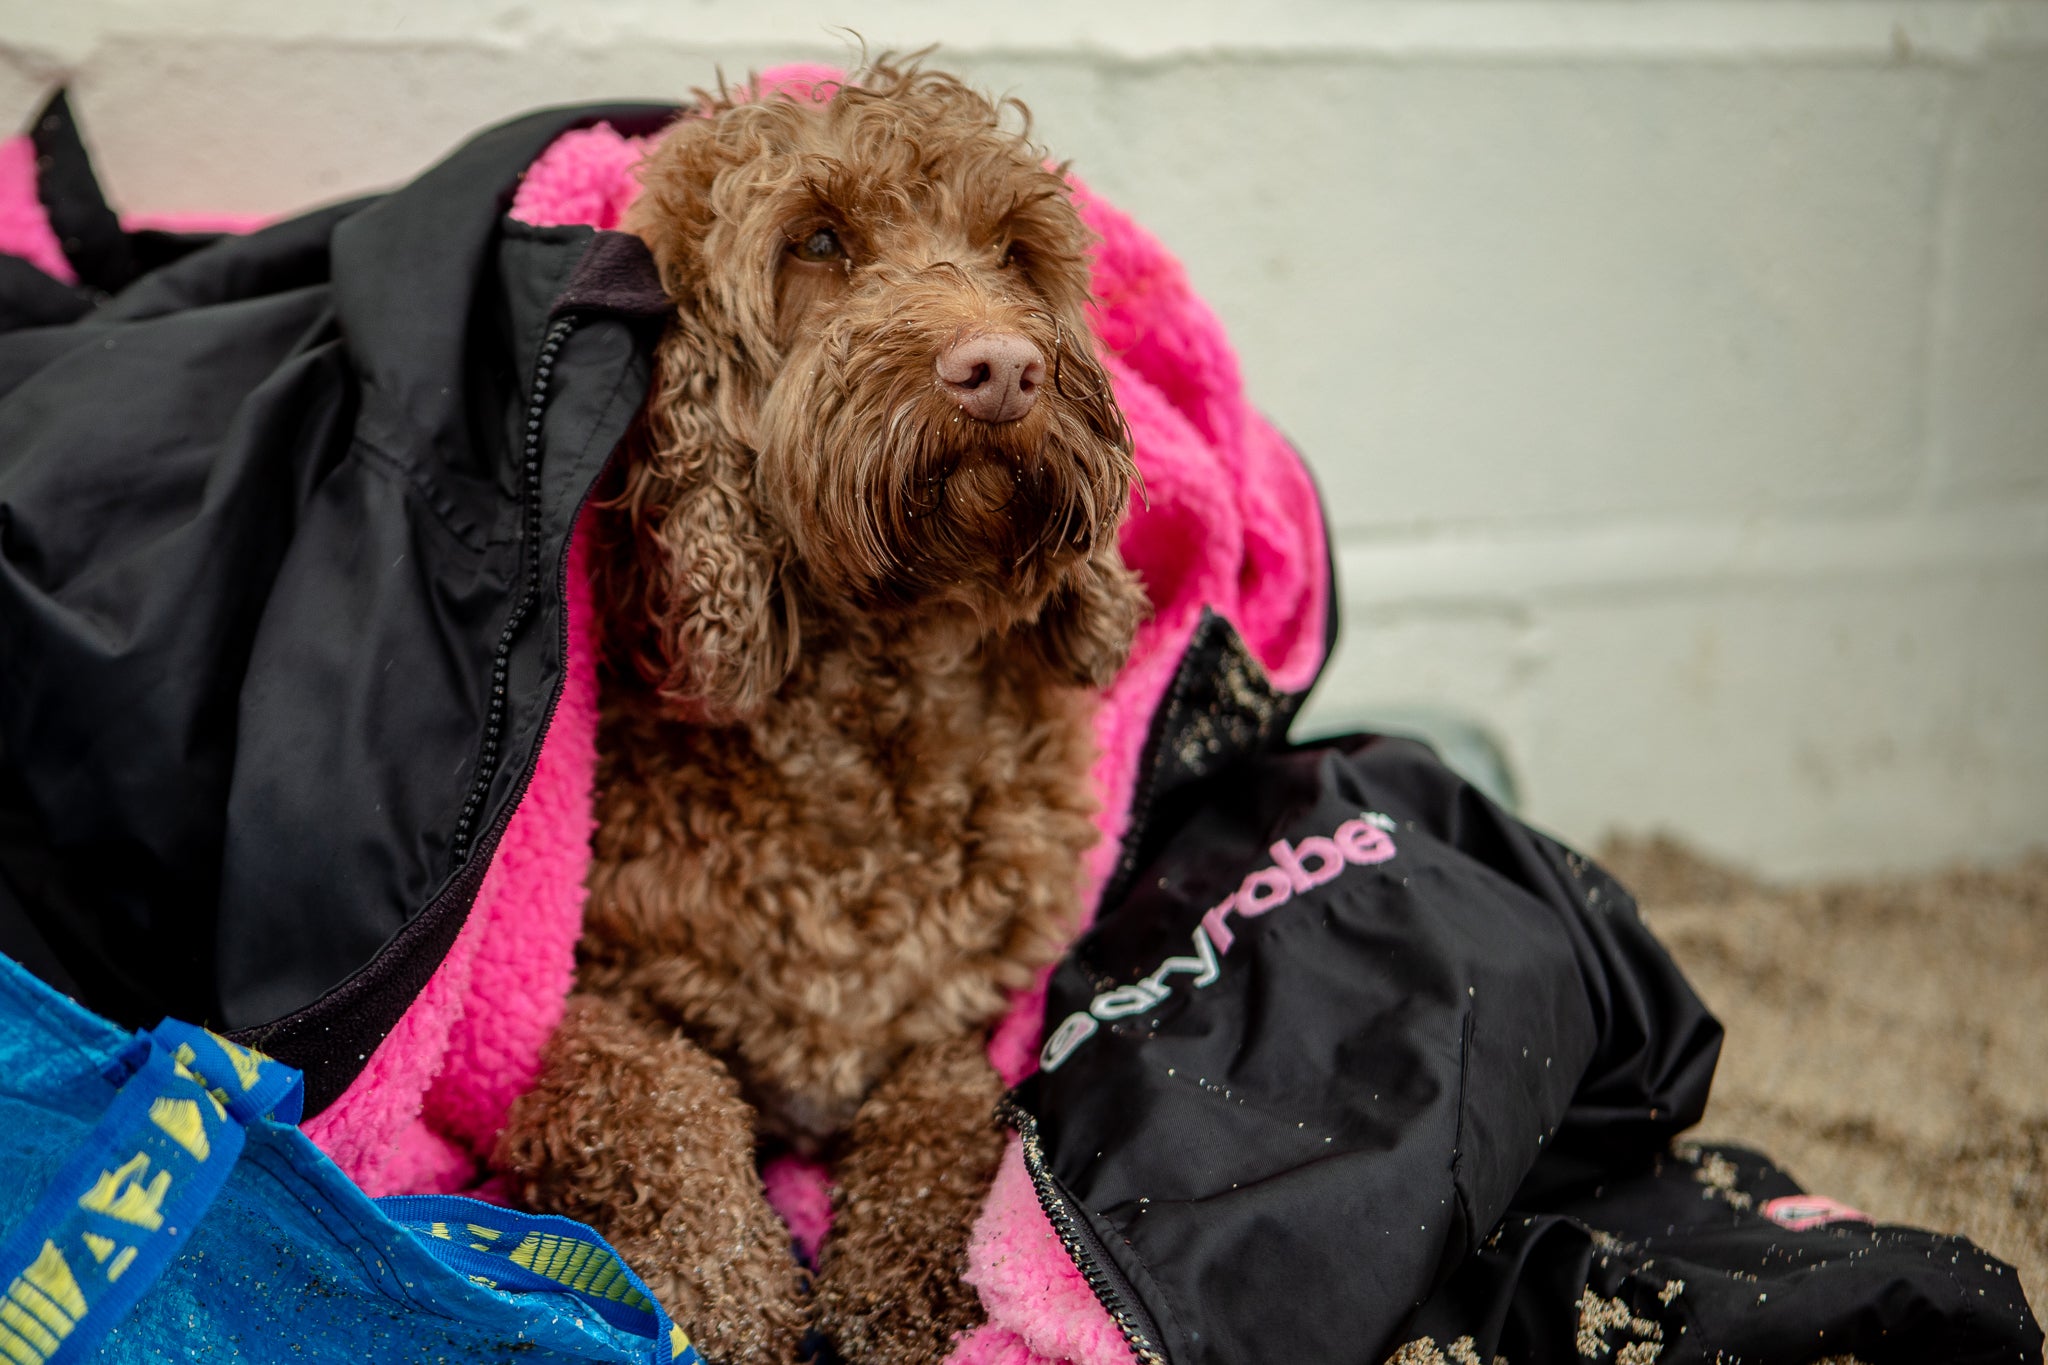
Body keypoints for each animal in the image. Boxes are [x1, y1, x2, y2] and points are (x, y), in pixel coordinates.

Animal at [487, 58, 1146, 1358]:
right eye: (819, 241)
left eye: (1013, 252)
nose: (1002, 367)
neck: (871, 714)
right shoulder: (587, 1012)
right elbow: (665, 1100)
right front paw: (728, 1295)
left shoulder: (961, 1018)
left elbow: (946, 1115)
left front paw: (909, 1294)